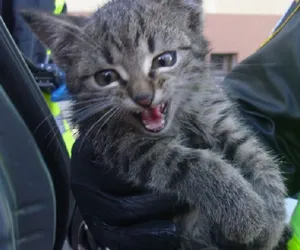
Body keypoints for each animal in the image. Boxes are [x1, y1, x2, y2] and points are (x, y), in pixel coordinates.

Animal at [19, 0, 288, 249]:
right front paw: (243, 209)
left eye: (165, 59)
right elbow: (190, 162)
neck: (178, 118)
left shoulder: (215, 112)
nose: (143, 97)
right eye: (106, 77)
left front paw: (273, 218)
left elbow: (254, 153)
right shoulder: (124, 146)